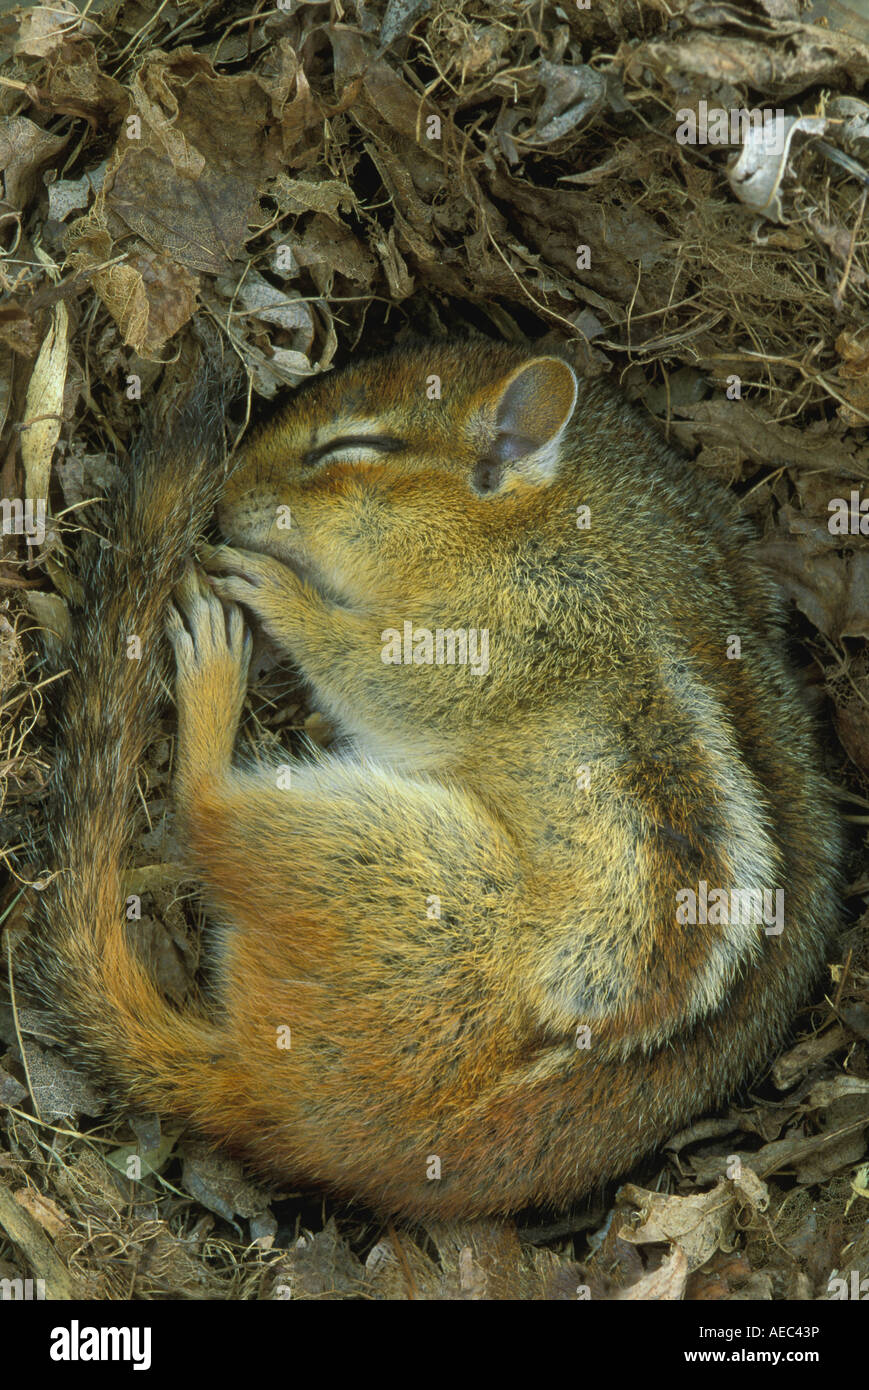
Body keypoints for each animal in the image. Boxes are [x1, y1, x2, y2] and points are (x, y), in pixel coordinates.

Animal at [19, 339, 841, 1220]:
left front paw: (285, 597)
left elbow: (370, 673)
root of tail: (287, 1104)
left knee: (202, 810)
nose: (228, 497)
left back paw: (214, 666)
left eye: (354, 448)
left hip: (398, 859)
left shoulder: (493, 643)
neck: (539, 527)